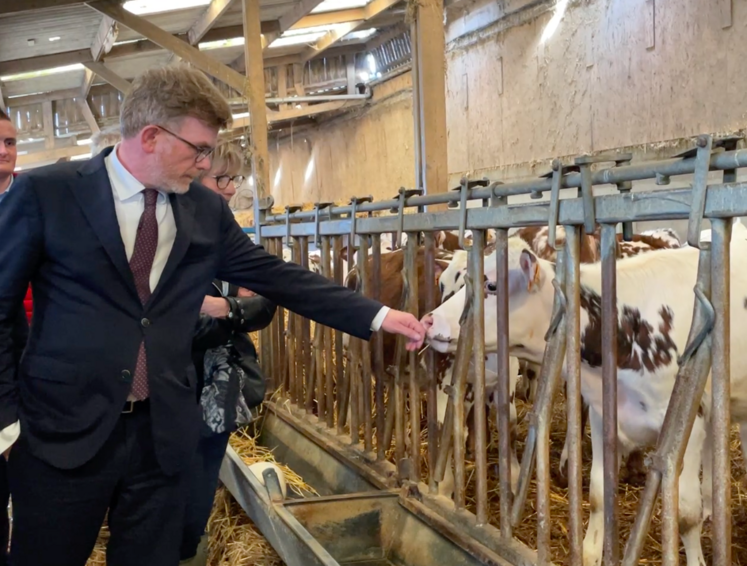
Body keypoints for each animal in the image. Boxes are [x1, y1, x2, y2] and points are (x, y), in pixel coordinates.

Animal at [420, 221, 747, 566]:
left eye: (493, 285)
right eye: (444, 283)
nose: (429, 319)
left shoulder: (688, 426)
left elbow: (684, 515)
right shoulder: (605, 418)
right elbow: (598, 495)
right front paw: (590, 552)